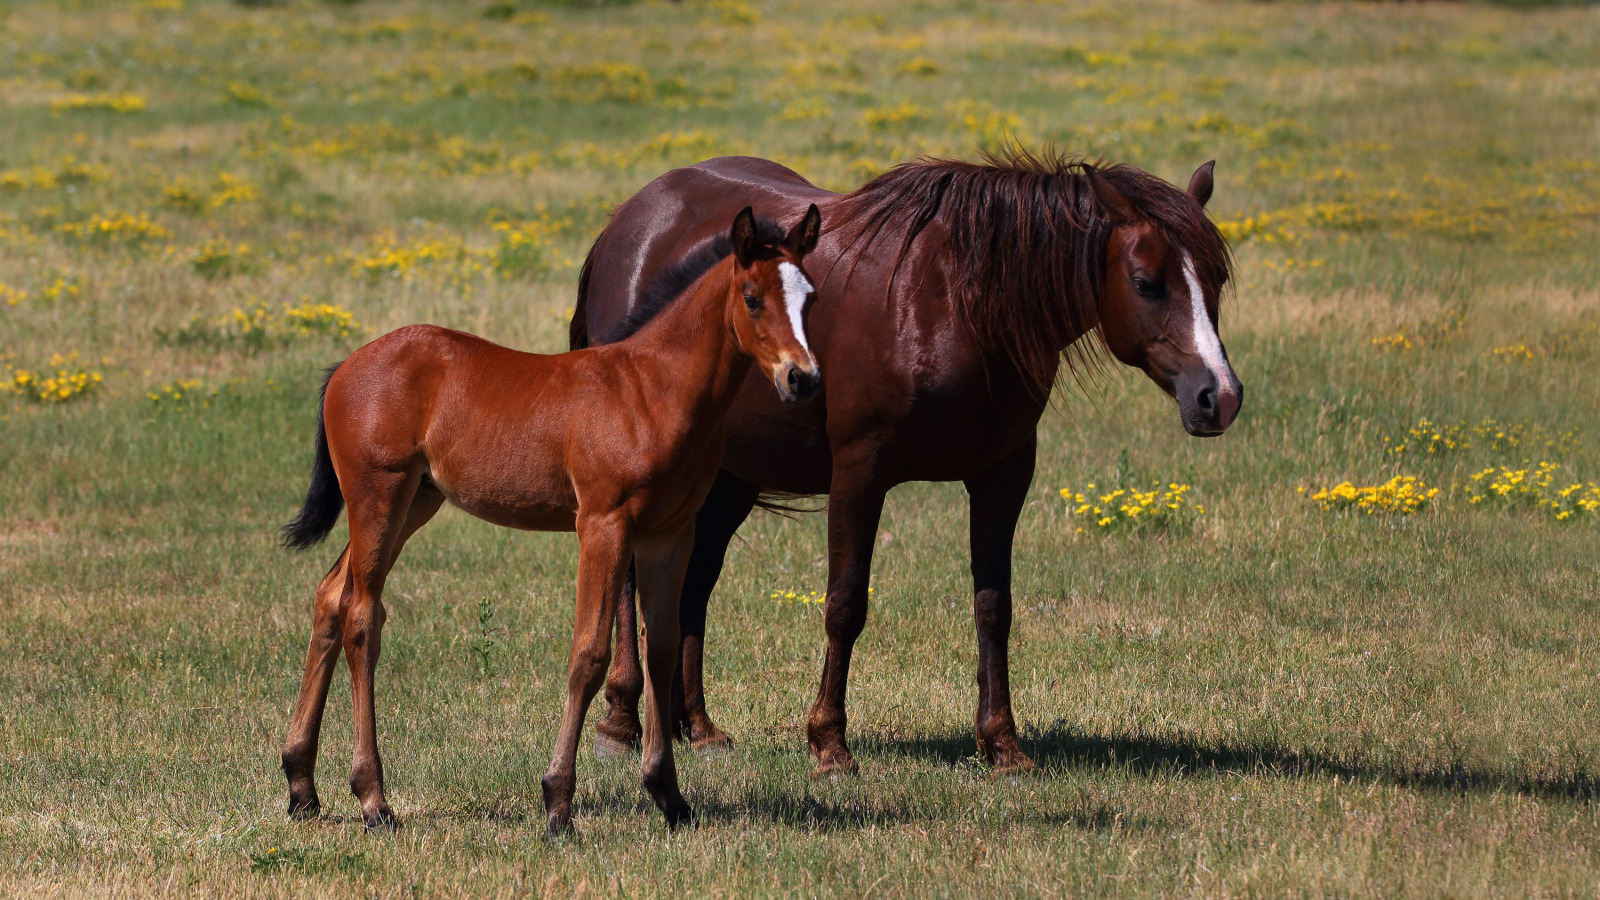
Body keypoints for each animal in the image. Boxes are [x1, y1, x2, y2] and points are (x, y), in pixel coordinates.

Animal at [278, 204, 825, 832]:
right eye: (752, 298)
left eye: (811, 298)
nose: (802, 378)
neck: (652, 390)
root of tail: (346, 366)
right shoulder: (603, 525)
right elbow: (589, 653)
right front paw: (558, 801)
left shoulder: (670, 533)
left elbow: (661, 649)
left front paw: (669, 796)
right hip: (379, 496)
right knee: (363, 615)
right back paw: (373, 798)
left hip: (415, 501)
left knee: (331, 596)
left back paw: (301, 784)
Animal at [569, 147, 1241, 771]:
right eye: (1147, 282)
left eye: (1216, 280)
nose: (1221, 397)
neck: (955, 304)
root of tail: (628, 220)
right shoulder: (859, 473)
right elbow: (845, 605)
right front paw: (829, 743)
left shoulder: (1004, 476)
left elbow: (994, 607)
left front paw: (1002, 744)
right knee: (630, 578)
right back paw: (621, 722)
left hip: (732, 475)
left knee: (694, 584)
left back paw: (699, 727)